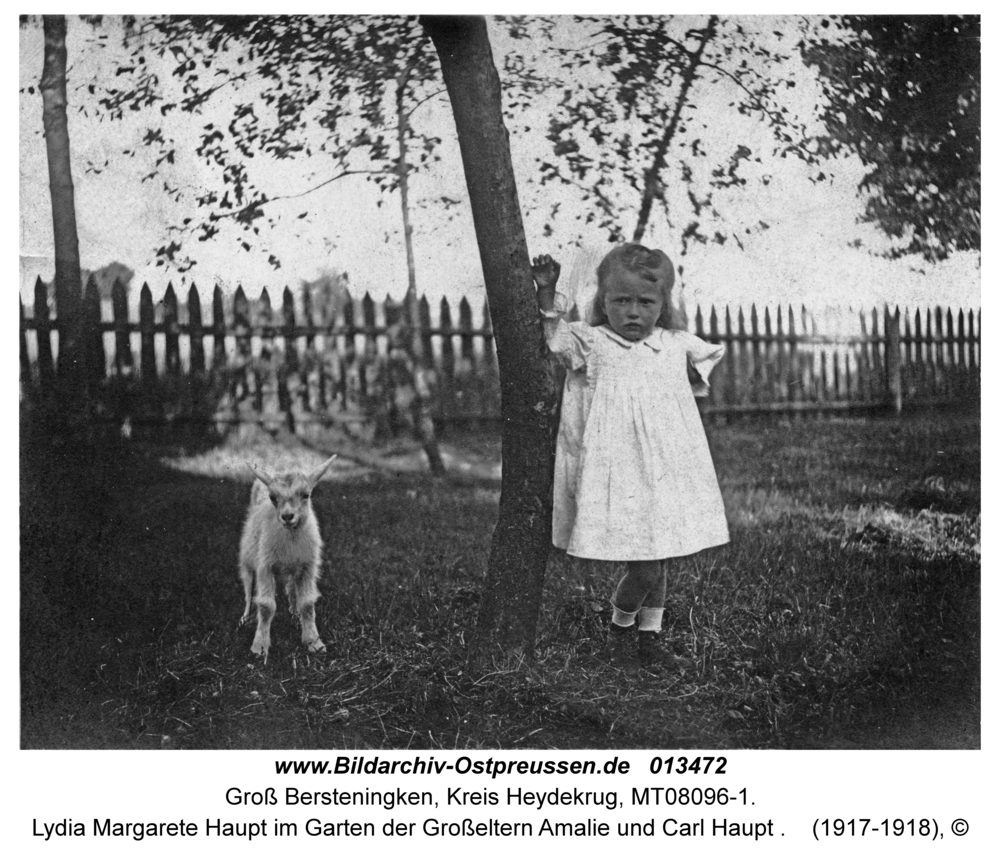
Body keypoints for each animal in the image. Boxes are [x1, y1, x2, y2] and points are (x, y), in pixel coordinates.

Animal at [240, 454, 338, 664]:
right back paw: (246, 618)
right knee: (248, 591)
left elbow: (307, 603)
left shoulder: (308, 567)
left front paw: (314, 643)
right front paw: (259, 647)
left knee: (292, 589)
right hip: (247, 562)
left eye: (306, 494)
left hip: (294, 570)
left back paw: (295, 615)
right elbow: (266, 606)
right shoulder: (265, 566)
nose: (287, 516)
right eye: (273, 497)